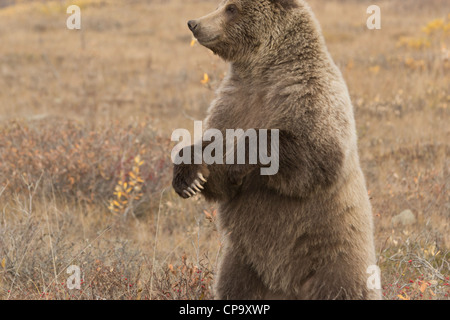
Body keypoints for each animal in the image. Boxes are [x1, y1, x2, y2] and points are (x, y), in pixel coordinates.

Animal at [172, 0, 380, 300]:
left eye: (231, 8)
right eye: (221, 4)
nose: (194, 23)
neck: (263, 72)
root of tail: (286, 286)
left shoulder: (309, 94)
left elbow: (314, 153)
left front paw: (239, 162)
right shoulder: (233, 104)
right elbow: (213, 153)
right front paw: (189, 178)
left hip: (335, 256)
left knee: (343, 288)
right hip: (244, 263)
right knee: (234, 287)